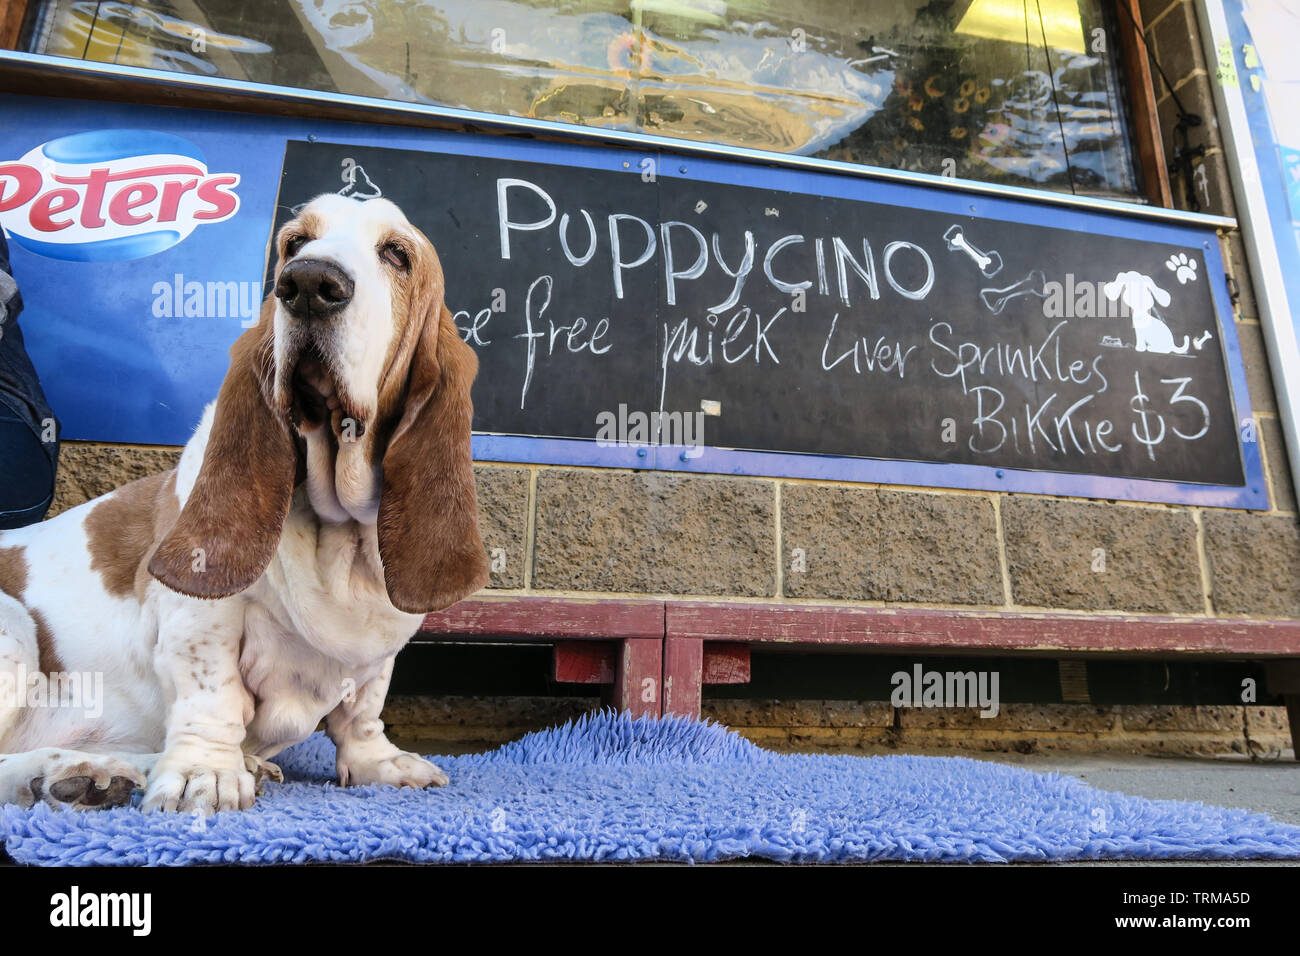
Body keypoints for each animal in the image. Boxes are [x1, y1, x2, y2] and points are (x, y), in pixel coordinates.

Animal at [0, 195, 488, 816]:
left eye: (397, 254)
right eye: (294, 243)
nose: (308, 284)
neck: (338, 532)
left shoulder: (377, 655)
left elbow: (363, 708)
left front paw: (378, 763)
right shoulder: (202, 618)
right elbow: (213, 696)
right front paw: (203, 775)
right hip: (13, 626)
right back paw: (84, 771)